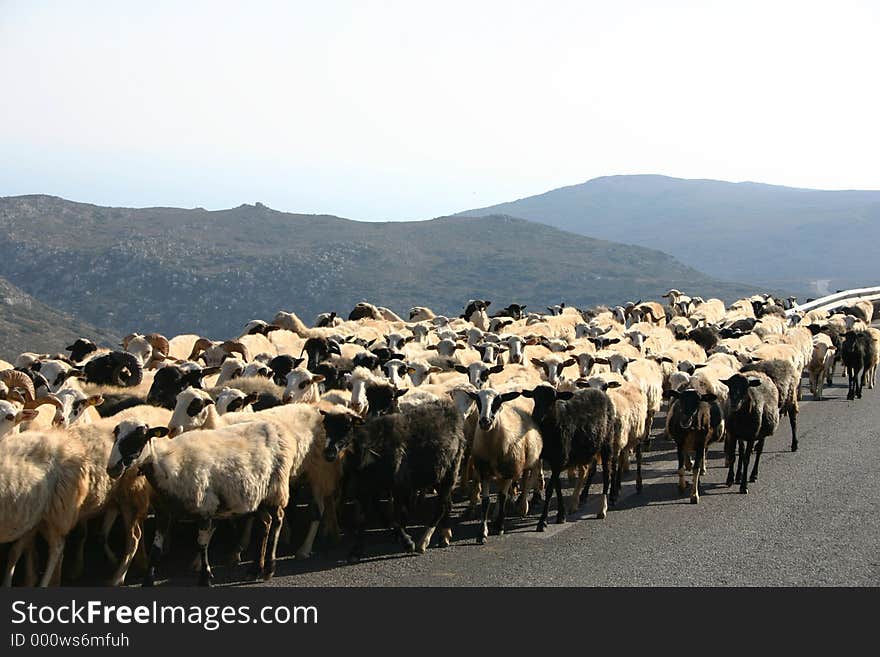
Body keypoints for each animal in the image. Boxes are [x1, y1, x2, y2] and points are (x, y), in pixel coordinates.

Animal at [318, 400, 468, 560]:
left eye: (347, 427)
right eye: (326, 426)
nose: (329, 453)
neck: (370, 447)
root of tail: (452, 409)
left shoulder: (397, 486)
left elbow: (395, 516)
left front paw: (408, 543)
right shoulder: (367, 487)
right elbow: (371, 516)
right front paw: (356, 550)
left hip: (451, 469)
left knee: (441, 506)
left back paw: (423, 542)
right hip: (437, 474)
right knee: (448, 503)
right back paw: (444, 536)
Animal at [520, 384, 616, 528]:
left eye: (552, 399)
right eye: (534, 397)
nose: (536, 417)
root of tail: (601, 393)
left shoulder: (560, 459)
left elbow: (550, 490)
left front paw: (542, 522)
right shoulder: (555, 460)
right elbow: (557, 487)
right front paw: (561, 515)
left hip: (606, 443)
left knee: (606, 475)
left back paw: (602, 509)